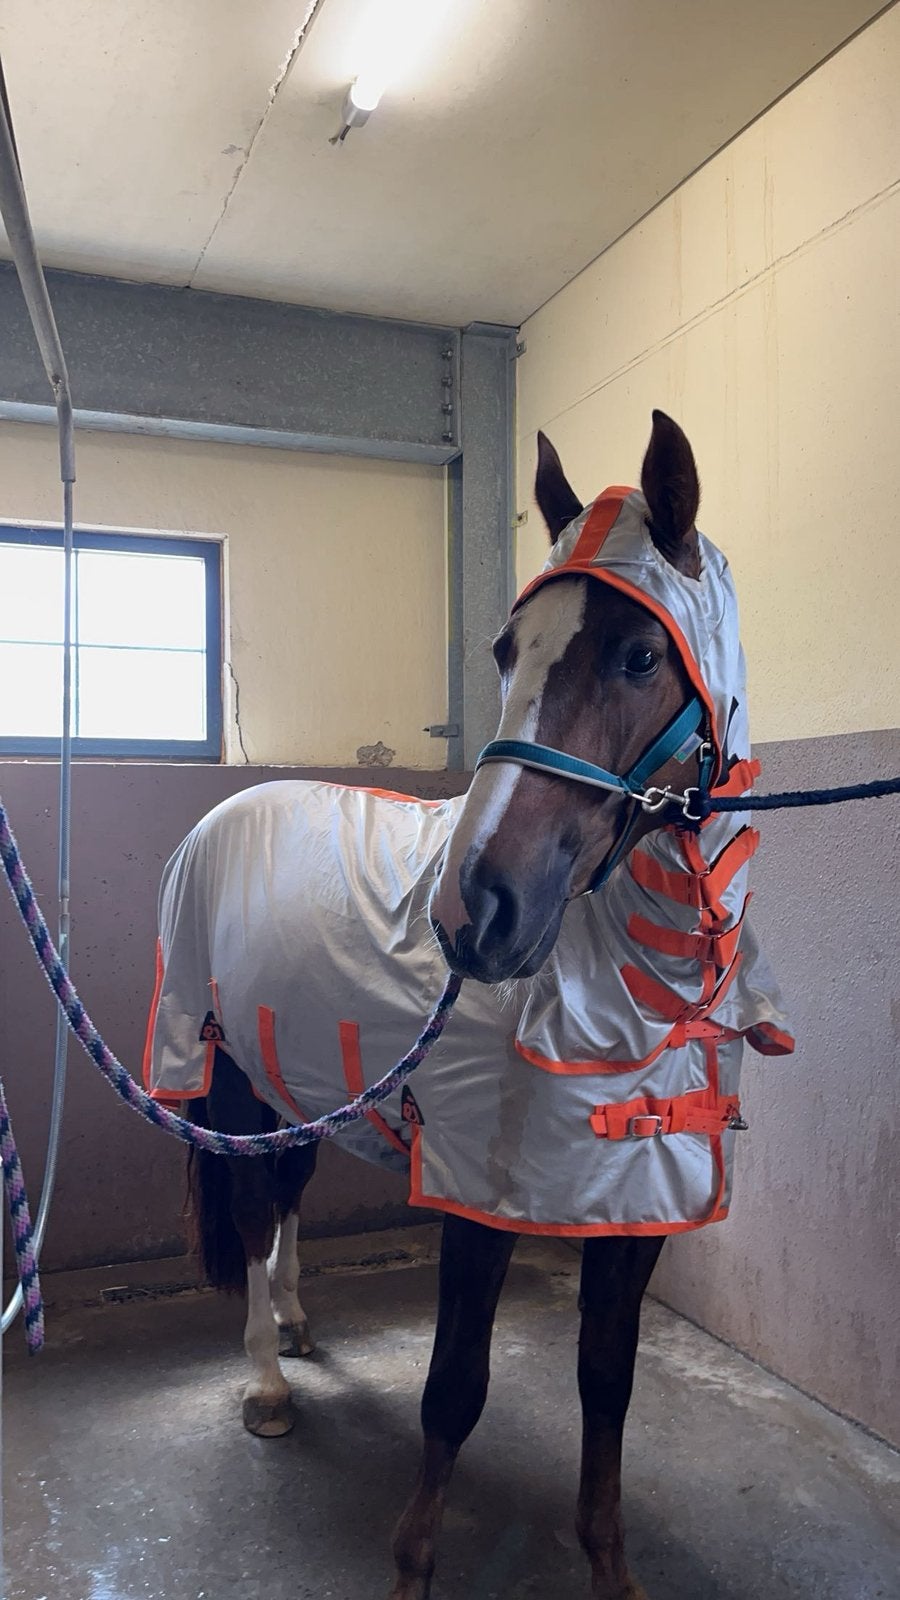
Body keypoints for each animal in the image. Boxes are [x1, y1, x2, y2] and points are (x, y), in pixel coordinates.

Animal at [144, 411, 792, 1600]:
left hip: (301, 1081)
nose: (472, 909)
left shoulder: (635, 1209)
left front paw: (610, 1565)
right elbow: (455, 1387)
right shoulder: (478, 1198)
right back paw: (266, 1383)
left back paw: (296, 1321)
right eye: (504, 651)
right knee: (254, 1208)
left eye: (639, 655)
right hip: (233, 1080)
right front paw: (413, 1565)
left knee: (289, 1198)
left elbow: (608, 1386)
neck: (636, 985)